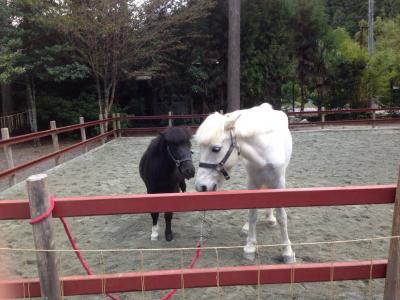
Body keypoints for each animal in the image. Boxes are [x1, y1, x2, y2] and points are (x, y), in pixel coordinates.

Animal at [195, 103, 296, 262]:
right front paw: (250, 247)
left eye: (216, 148)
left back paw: (270, 218)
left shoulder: (279, 184)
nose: (201, 186)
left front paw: (287, 251)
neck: (264, 151)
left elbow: (282, 217)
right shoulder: (252, 183)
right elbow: (252, 213)